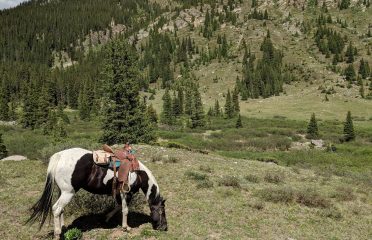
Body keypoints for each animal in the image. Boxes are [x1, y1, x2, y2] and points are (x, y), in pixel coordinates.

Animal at [28, 147, 168, 237]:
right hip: (68, 192)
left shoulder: (119, 193)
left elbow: (118, 207)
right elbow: (125, 210)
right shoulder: (126, 193)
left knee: (61, 210)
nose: (164, 227)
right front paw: (126, 227)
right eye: (162, 211)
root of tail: (60, 156)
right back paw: (57, 234)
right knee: (56, 209)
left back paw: (62, 227)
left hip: (62, 191)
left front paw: (106, 218)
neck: (138, 174)